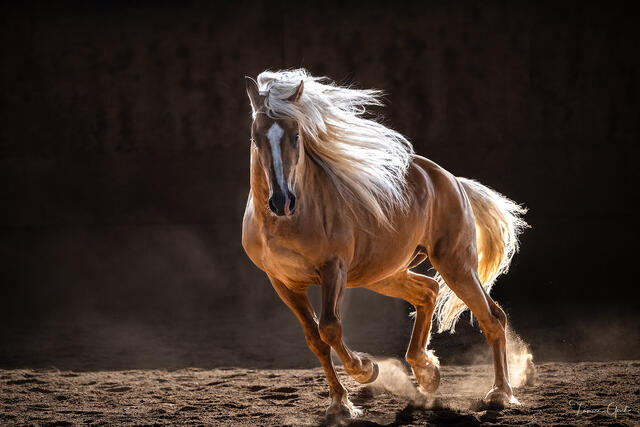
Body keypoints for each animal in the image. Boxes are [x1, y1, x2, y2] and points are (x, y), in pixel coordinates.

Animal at [241, 69, 528, 417]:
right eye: (256, 138)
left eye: (296, 136)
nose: (282, 201)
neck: (288, 224)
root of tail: (452, 180)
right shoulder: (283, 282)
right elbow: (315, 338)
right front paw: (340, 404)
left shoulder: (333, 270)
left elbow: (330, 327)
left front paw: (366, 370)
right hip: (385, 274)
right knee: (428, 293)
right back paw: (427, 372)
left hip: (455, 264)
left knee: (492, 318)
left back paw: (500, 393)